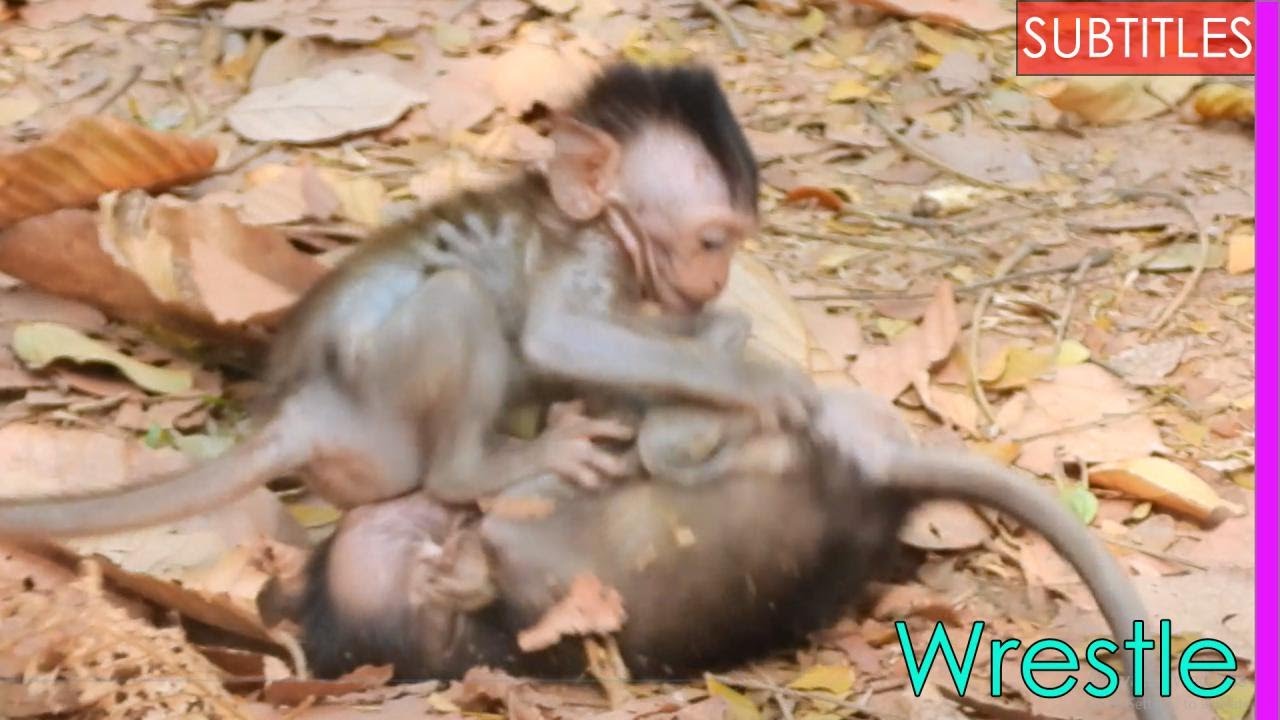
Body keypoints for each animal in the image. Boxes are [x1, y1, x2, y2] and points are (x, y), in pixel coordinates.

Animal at [0, 62, 811, 538]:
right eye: (712, 241)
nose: (717, 278)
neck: (593, 222)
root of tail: (309, 411)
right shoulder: (587, 258)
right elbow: (559, 338)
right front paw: (758, 384)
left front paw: (726, 332)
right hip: (383, 390)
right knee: (457, 301)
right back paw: (484, 468)